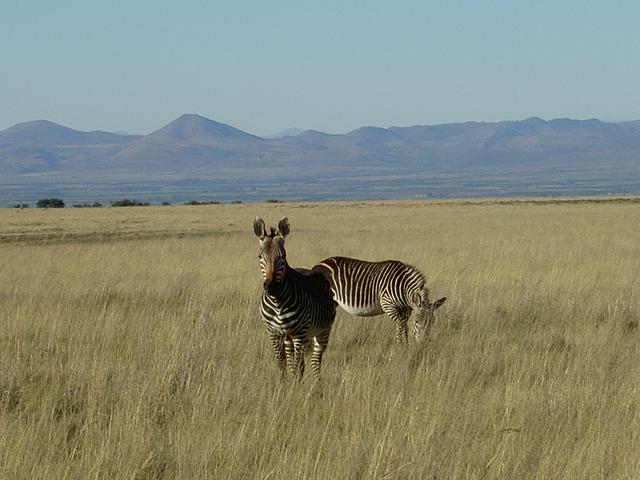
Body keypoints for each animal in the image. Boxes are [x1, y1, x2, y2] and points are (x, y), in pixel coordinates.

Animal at [254, 218, 338, 378]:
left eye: (283, 256)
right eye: (260, 257)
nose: (272, 287)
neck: (277, 304)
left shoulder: (299, 334)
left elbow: (298, 365)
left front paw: (295, 384)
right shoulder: (273, 333)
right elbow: (282, 364)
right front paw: (283, 384)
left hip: (322, 330)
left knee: (314, 361)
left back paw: (317, 384)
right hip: (289, 337)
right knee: (294, 361)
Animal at [314, 256, 444, 344]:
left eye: (432, 322)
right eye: (417, 322)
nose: (422, 345)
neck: (402, 289)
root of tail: (319, 264)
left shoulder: (406, 310)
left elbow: (403, 327)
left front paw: (404, 346)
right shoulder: (388, 305)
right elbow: (401, 325)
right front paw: (401, 348)